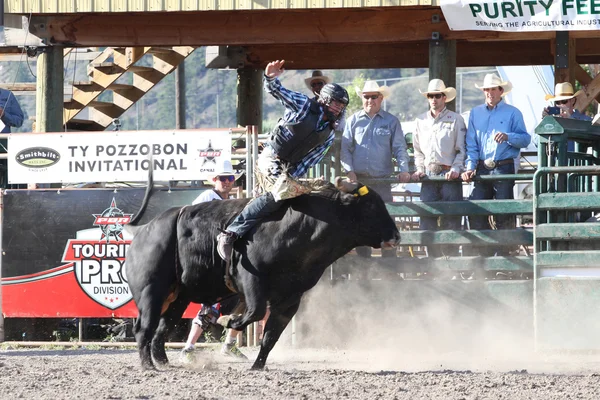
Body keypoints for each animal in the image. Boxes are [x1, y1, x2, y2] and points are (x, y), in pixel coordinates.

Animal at [126, 178, 398, 368]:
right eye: (370, 206)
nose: (396, 236)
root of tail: (143, 229)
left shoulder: (291, 298)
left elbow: (270, 336)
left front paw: (258, 367)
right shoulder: (251, 279)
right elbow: (255, 312)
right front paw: (227, 321)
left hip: (178, 297)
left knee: (162, 329)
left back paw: (163, 362)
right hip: (151, 292)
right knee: (144, 328)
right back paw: (149, 366)